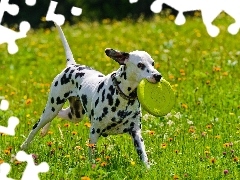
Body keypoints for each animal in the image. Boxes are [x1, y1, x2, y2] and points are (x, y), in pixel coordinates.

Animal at [20, 23, 162, 167]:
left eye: (153, 63)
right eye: (140, 65)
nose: (158, 76)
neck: (122, 98)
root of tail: (72, 65)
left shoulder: (136, 133)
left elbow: (143, 155)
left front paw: (148, 168)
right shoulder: (95, 132)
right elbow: (92, 155)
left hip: (75, 115)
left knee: (60, 114)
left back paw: (44, 131)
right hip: (51, 108)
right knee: (36, 128)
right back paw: (24, 146)